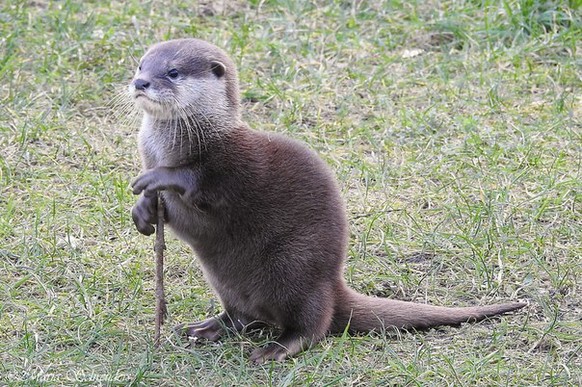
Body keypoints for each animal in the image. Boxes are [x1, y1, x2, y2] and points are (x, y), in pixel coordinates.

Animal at [129, 38, 528, 364]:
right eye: (140, 65)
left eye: (173, 72)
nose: (140, 82)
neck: (174, 144)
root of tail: (333, 286)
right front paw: (143, 211)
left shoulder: (231, 165)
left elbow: (198, 182)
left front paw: (158, 178)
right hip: (228, 282)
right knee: (241, 316)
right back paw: (204, 328)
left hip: (295, 267)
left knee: (311, 325)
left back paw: (278, 348)